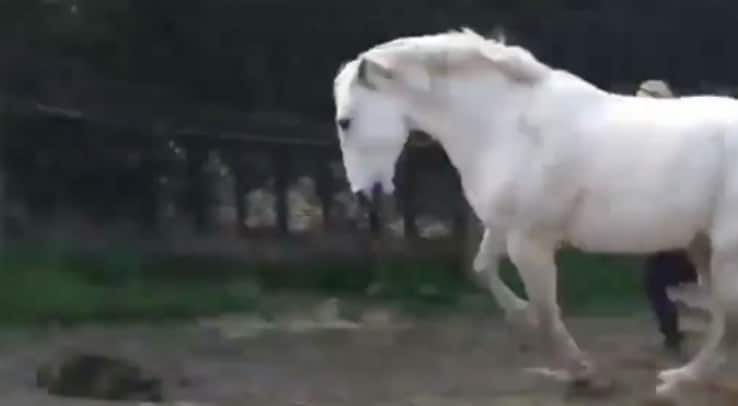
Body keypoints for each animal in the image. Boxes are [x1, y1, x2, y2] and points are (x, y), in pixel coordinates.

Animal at [332, 27, 738, 396]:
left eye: (345, 121)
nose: (365, 197)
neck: (507, 127)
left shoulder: (530, 242)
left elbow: (546, 310)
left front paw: (585, 373)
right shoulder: (502, 228)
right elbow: (483, 270)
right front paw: (522, 318)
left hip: (723, 253)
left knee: (726, 322)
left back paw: (679, 380)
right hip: (703, 248)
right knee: (722, 319)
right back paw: (685, 377)